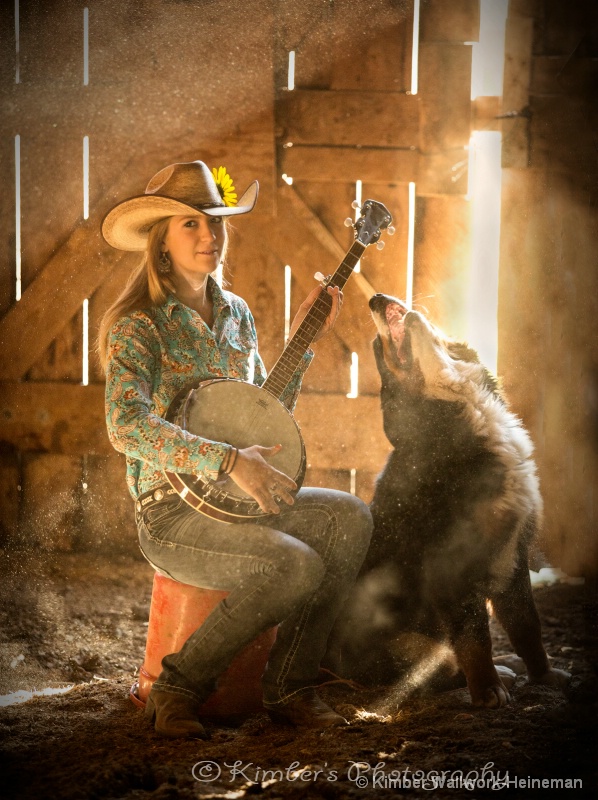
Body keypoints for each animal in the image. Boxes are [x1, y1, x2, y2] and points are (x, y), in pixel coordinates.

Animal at [332, 294, 572, 708]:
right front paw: (488, 690)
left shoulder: (513, 557)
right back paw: (497, 673)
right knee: (433, 671)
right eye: (380, 351)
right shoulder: (453, 570)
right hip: (413, 646)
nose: (375, 299)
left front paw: (543, 675)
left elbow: (527, 627)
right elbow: (474, 640)